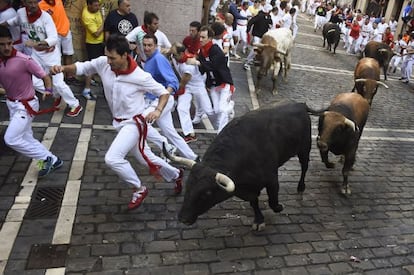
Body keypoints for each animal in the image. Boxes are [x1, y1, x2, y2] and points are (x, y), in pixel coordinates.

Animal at [163, 101, 312, 231]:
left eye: (207, 193)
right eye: (188, 186)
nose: (183, 218)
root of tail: (300, 104)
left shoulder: (271, 179)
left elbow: (273, 202)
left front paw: (279, 207)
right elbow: (253, 201)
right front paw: (259, 220)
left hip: (304, 148)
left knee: (304, 167)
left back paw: (301, 187)